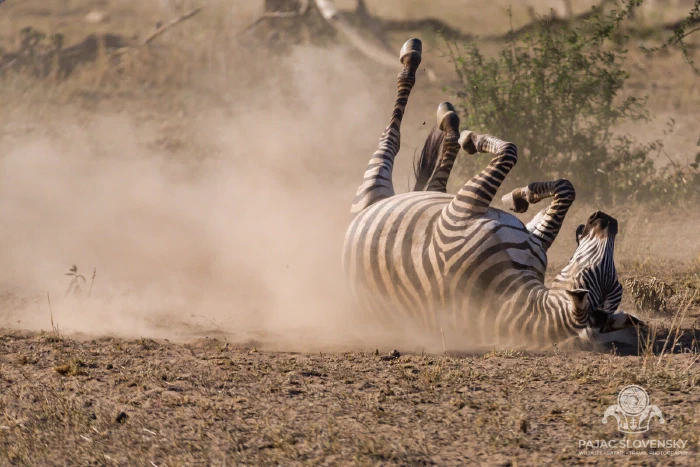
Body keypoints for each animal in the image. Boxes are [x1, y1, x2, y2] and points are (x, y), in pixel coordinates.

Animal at [342, 38, 643, 349]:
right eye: (593, 271)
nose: (605, 219)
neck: (514, 296)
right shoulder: (532, 237)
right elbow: (564, 190)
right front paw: (520, 195)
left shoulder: (464, 206)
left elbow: (510, 151)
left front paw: (476, 142)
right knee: (434, 180)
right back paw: (448, 117)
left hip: (374, 187)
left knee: (394, 137)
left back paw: (420, 72)